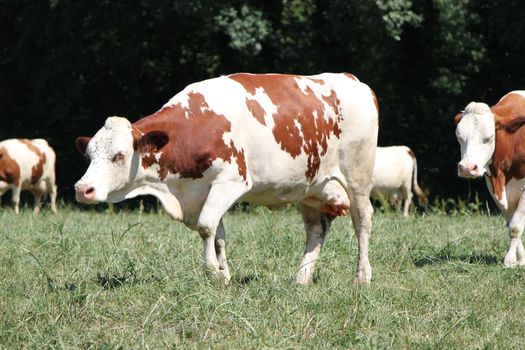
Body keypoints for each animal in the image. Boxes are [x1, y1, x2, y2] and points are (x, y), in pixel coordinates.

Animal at [73, 73, 378, 284]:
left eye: (119, 155)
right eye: (89, 155)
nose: (82, 188)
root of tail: (353, 80)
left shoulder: (231, 182)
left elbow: (206, 227)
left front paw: (212, 273)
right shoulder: (203, 190)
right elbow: (218, 236)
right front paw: (224, 276)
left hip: (357, 177)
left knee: (362, 221)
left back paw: (361, 276)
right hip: (310, 188)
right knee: (316, 228)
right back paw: (301, 279)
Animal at [452, 91, 525, 266]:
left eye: (489, 137)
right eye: (459, 137)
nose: (467, 168)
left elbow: (516, 227)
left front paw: (510, 260)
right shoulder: (493, 184)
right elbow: (511, 223)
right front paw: (520, 259)